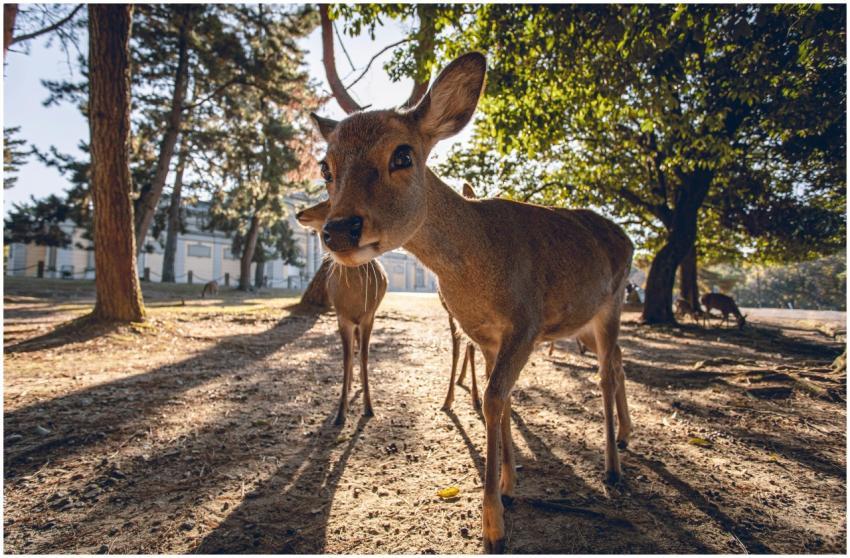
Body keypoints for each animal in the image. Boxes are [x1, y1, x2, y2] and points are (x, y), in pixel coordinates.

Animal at [296, 200, 388, 425]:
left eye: (329, 202)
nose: (299, 213)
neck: (354, 299)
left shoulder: (368, 317)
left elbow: (364, 356)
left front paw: (369, 408)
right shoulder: (342, 317)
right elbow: (346, 359)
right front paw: (339, 414)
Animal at [308, 52, 634, 553]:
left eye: (403, 154)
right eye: (326, 167)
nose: (339, 230)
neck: (477, 270)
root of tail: (629, 239)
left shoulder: (526, 322)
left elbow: (495, 399)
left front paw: (493, 524)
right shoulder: (482, 332)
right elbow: (497, 398)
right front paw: (510, 485)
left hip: (612, 303)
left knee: (605, 373)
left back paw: (613, 468)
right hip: (586, 322)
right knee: (618, 361)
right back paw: (626, 438)